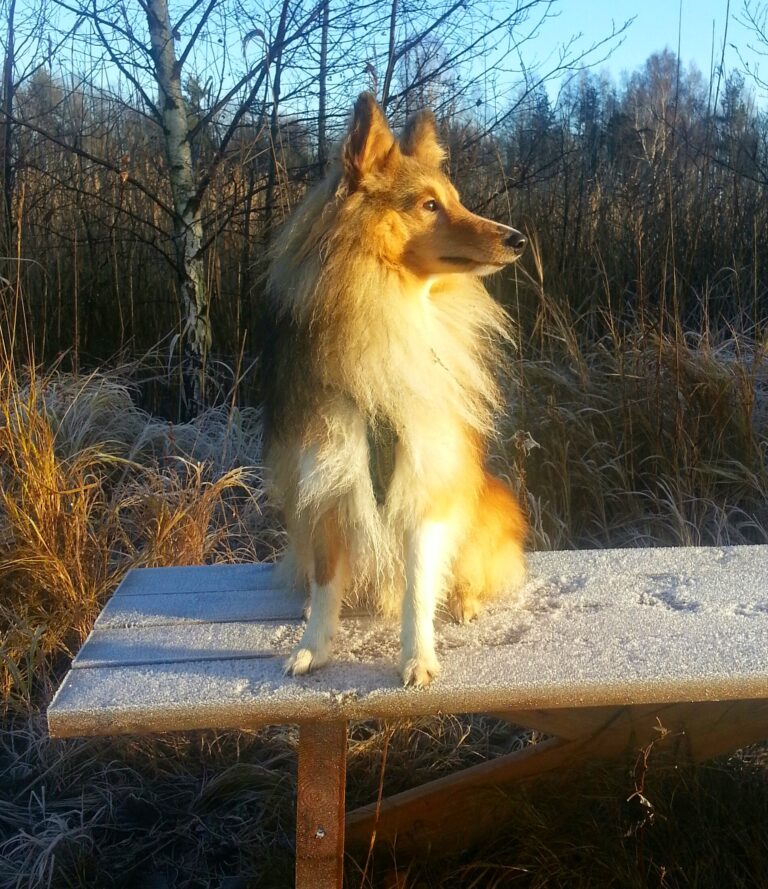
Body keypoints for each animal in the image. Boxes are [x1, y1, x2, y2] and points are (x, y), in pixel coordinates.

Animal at [264, 92, 528, 688]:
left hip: (482, 502)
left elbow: (418, 587)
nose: (518, 238)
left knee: (471, 570)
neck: (391, 306)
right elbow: (326, 581)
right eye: (429, 205)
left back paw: (465, 601)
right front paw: (314, 647)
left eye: (456, 200)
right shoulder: (328, 482)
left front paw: (417, 657)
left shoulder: (425, 484)